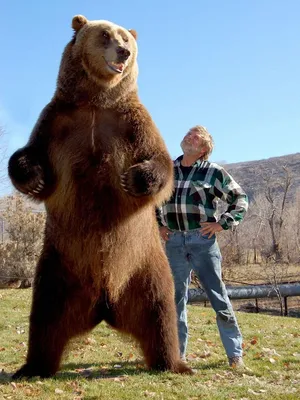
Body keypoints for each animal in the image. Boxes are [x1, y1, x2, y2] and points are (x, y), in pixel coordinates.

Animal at [8, 14, 192, 378]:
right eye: (105, 35)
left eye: (126, 38)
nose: (123, 52)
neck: (97, 101)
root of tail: (105, 305)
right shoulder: (58, 121)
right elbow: (32, 154)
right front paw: (33, 178)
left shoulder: (132, 122)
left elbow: (160, 163)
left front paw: (134, 179)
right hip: (59, 269)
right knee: (45, 318)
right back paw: (33, 366)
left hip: (144, 266)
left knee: (161, 312)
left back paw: (174, 364)